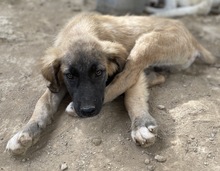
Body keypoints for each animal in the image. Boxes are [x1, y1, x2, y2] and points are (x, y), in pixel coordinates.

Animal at [5, 12, 215, 154]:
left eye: (99, 73)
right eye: (70, 76)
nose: (88, 110)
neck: (81, 30)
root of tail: (192, 38)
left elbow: (132, 95)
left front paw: (141, 124)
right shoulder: (58, 82)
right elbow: (42, 103)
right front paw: (26, 132)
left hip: (147, 42)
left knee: (131, 73)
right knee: (154, 75)